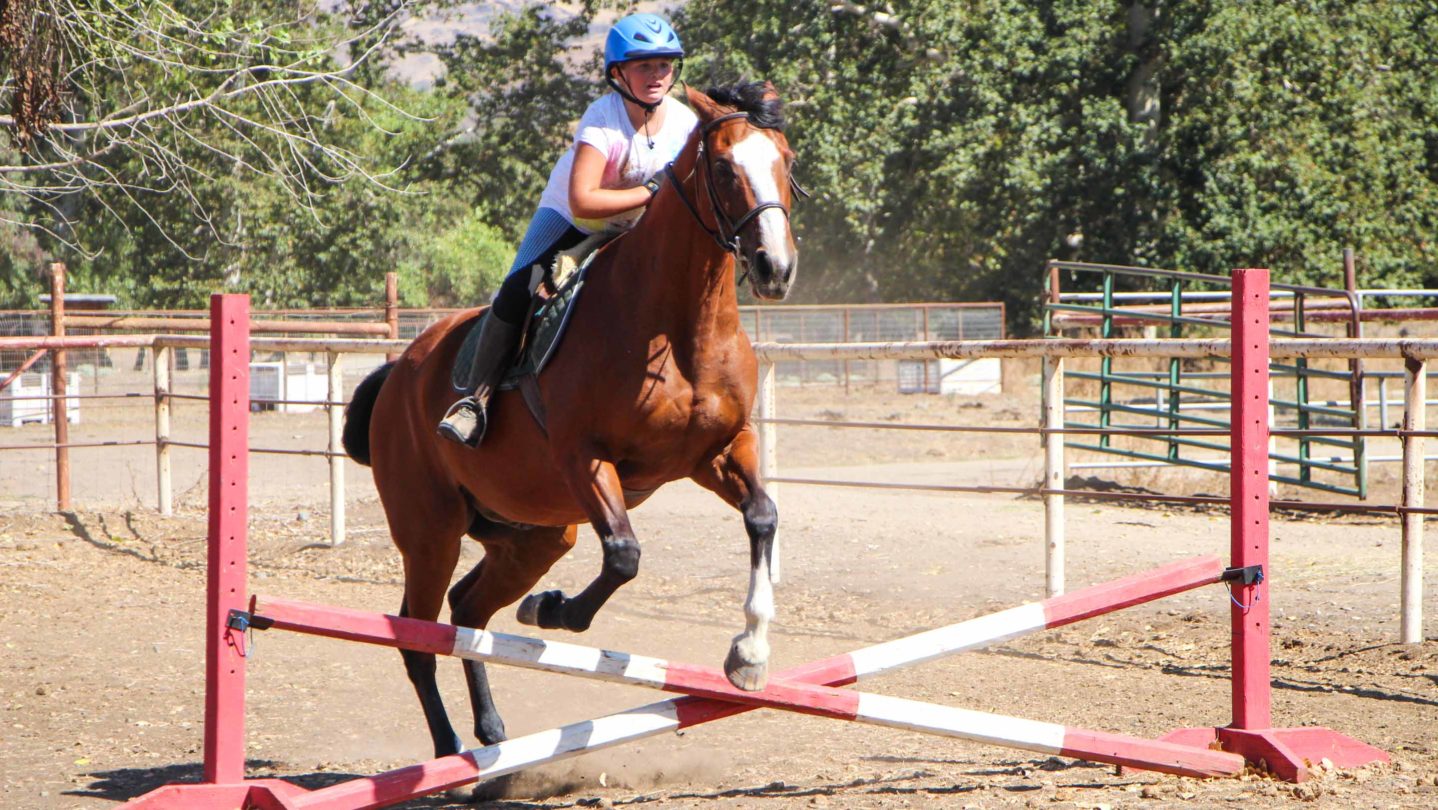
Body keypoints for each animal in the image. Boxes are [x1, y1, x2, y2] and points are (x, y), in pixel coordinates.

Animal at [343, 82, 805, 765]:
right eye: (723, 168)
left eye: (787, 161)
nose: (775, 268)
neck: (680, 325)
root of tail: (399, 372)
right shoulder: (585, 459)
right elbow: (623, 555)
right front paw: (554, 612)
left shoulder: (716, 453)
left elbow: (763, 517)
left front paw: (748, 656)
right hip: (430, 532)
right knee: (417, 636)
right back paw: (452, 751)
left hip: (534, 535)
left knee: (467, 611)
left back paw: (492, 735)